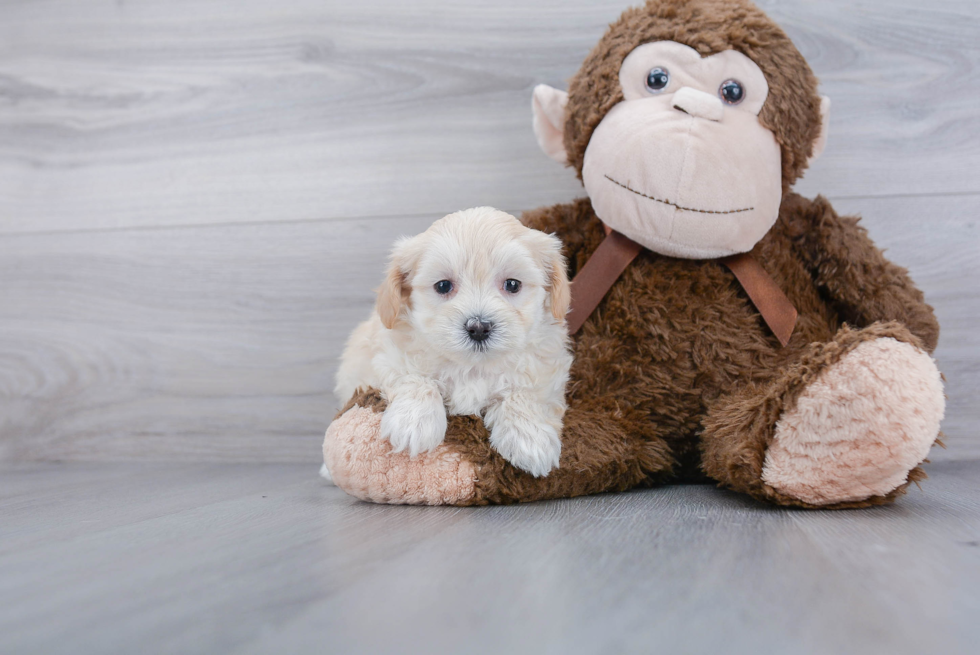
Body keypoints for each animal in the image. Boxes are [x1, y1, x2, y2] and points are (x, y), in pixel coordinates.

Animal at [334, 208, 576, 480]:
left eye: (512, 284)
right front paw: (414, 421)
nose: (478, 327)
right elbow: (414, 377)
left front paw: (531, 438)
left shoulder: (547, 370)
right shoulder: (386, 356)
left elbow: (526, 393)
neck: (472, 367)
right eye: (443, 286)